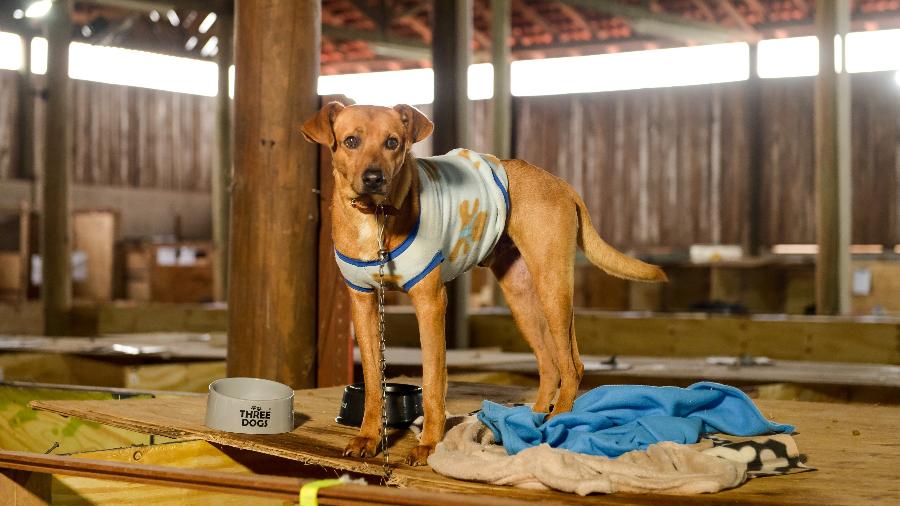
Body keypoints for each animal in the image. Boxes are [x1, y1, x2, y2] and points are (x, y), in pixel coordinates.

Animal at [298, 103, 664, 466]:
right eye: (351, 141)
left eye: (392, 143)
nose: (375, 178)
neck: (375, 217)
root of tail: (561, 184)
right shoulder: (363, 305)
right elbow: (375, 383)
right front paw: (368, 438)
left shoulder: (430, 303)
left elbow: (433, 381)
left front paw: (428, 444)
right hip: (522, 301)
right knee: (551, 365)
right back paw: (527, 421)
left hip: (553, 289)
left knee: (571, 366)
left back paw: (557, 419)